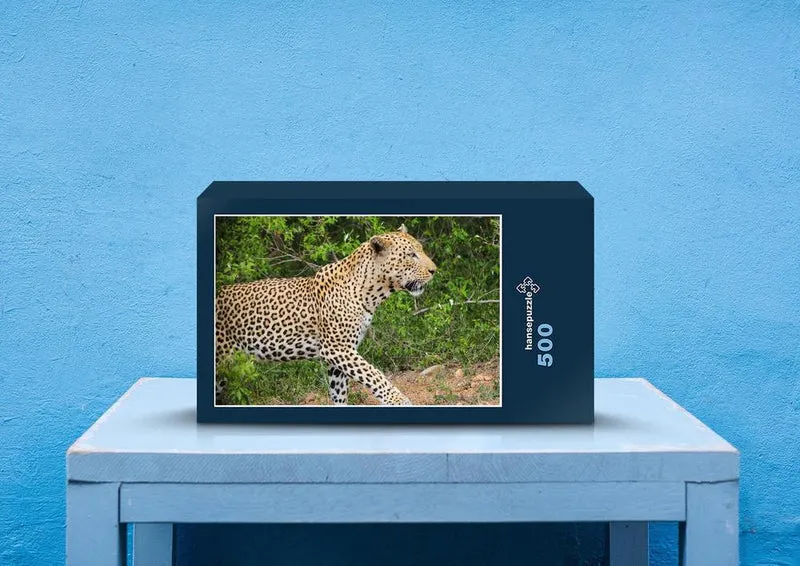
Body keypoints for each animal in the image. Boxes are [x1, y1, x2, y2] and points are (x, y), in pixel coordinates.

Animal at [215, 224, 437, 405]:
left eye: (421, 250)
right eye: (411, 255)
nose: (434, 270)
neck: (370, 293)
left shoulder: (340, 356)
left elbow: (340, 393)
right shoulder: (336, 348)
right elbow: (374, 374)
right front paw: (398, 400)